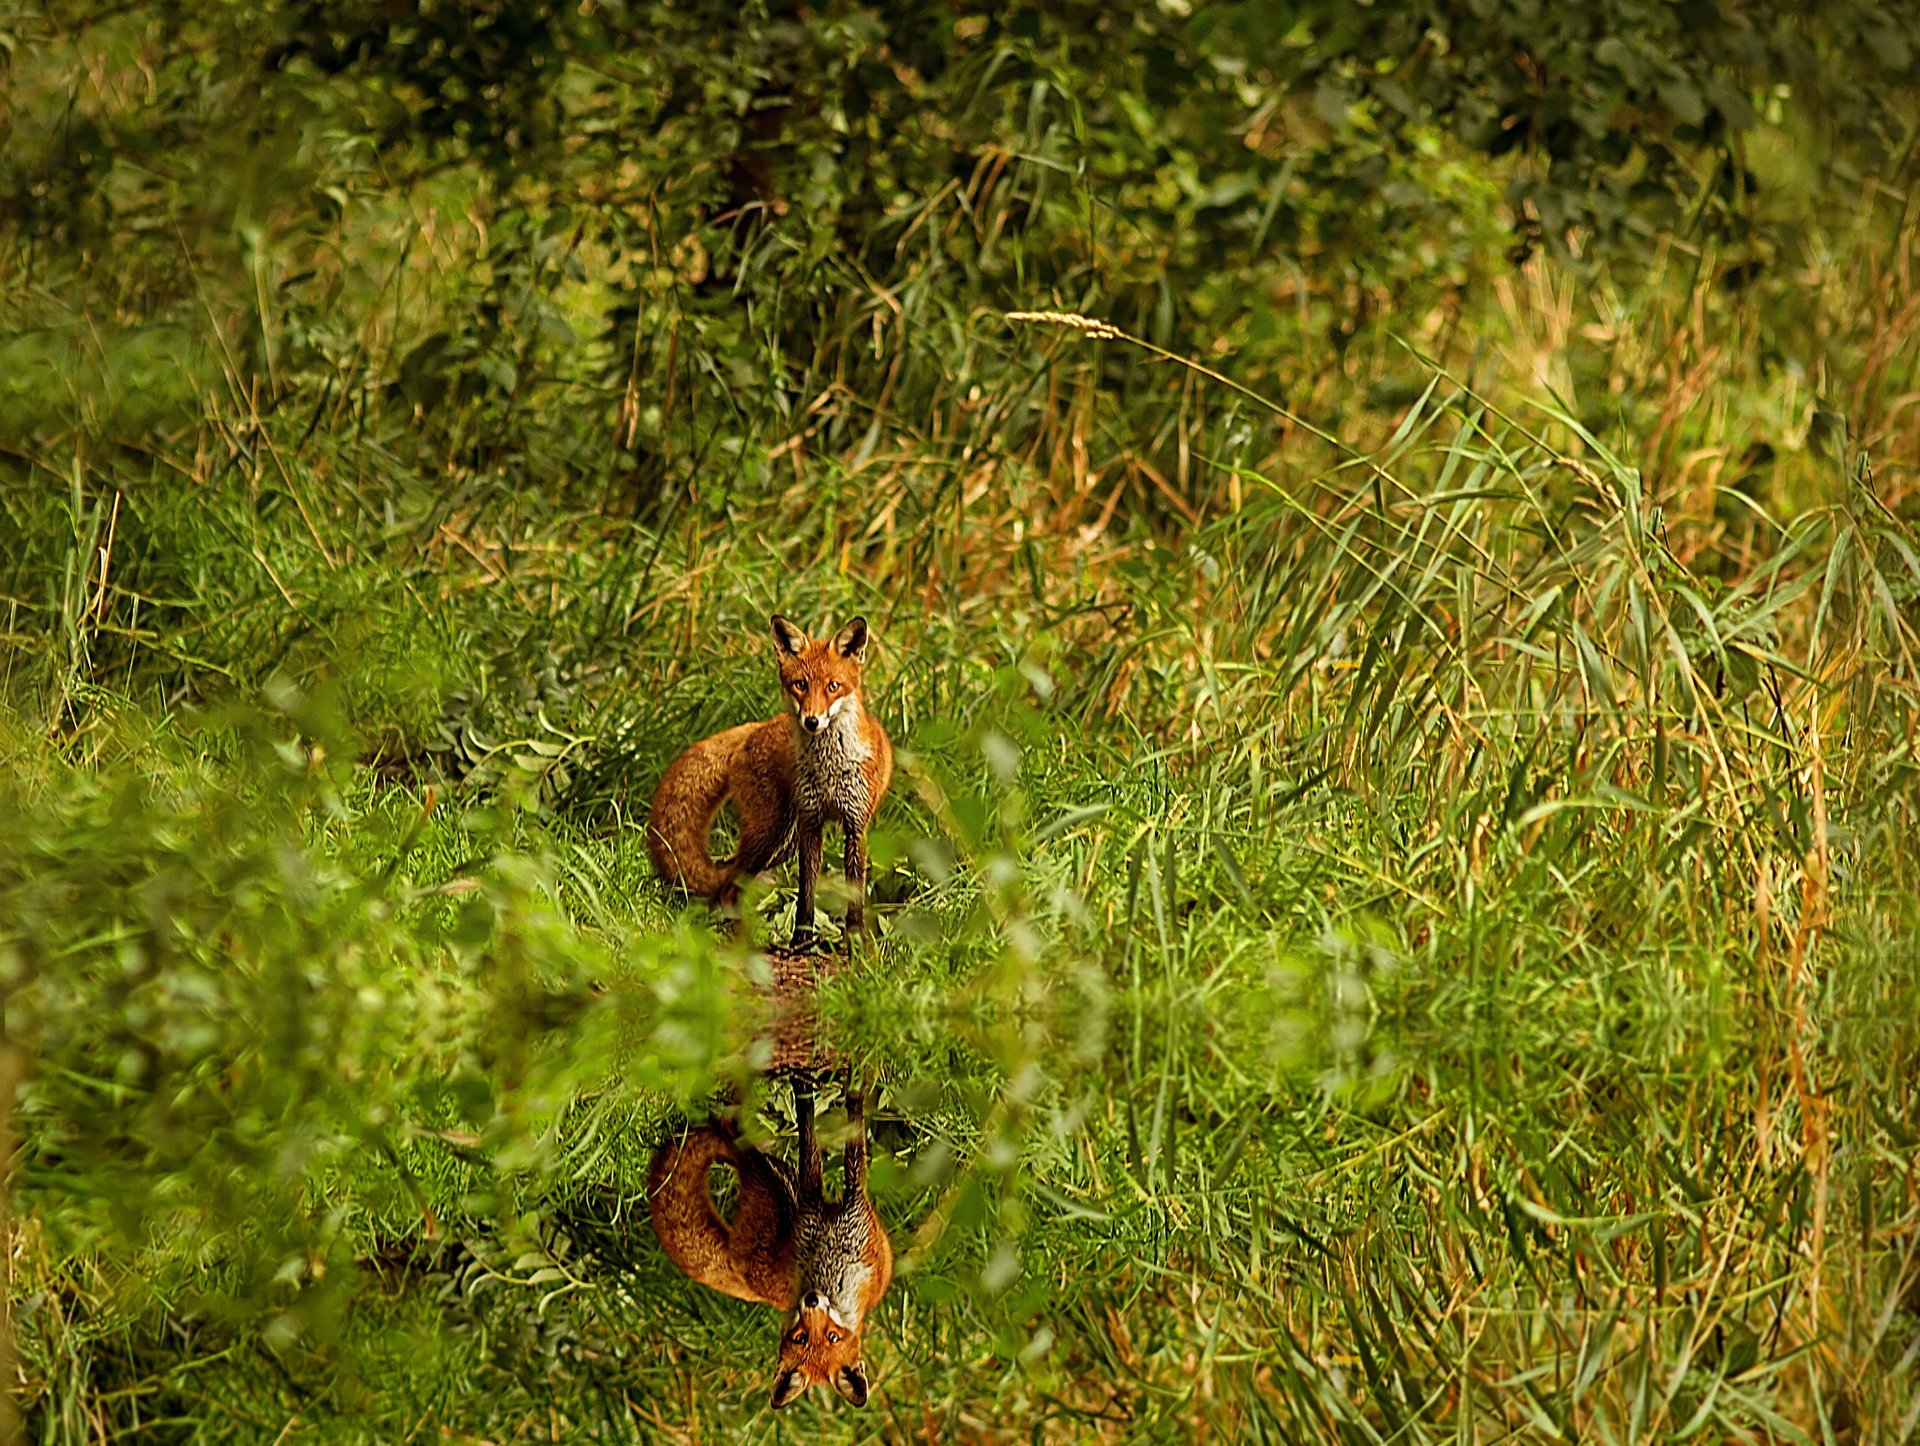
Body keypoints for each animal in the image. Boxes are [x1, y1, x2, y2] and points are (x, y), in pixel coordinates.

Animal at [647, 615, 893, 944]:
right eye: (800, 685)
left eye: (833, 686)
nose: (812, 721)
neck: (829, 766)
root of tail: (756, 728)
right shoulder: (811, 823)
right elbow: (806, 893)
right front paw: (801, 941)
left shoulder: (854, 825)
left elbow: (852, 896)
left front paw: (854, 941)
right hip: (771, 833)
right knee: (728, 888)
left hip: (782, 840)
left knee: (728, 887)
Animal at [648, 1078, 894, 1410]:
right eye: (801, 1337)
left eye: (832, 1337)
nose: (811, 1301)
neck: (829, 1264)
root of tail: (748, 1282)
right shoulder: (816, 1206)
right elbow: (815, 1137)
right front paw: (823, 1085)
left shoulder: (849, 1214)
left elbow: (839, 1138)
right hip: (777, 1192)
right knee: (739, 1139)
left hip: (778, 1188)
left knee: (741, 1140)